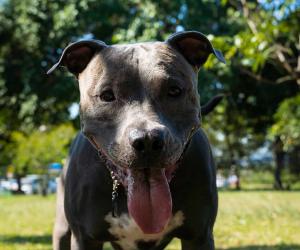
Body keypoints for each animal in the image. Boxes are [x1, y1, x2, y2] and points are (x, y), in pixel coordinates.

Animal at [47, 31, 225, 250]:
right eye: (107, 96)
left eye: (174, 91)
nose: (148, 141)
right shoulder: (84, 238)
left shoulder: (199, 236)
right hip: (62, 228)